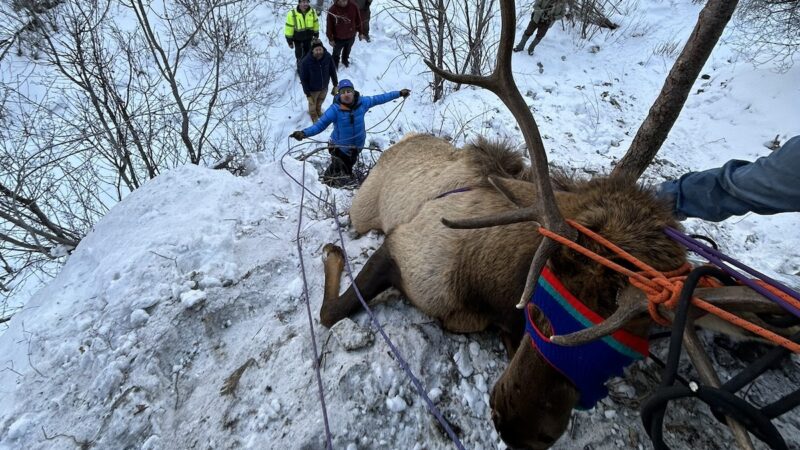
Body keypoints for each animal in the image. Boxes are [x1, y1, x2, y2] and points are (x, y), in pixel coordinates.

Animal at [318, 0, 788, 450]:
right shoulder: (404, 250)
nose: (517, 428)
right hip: (362, 210)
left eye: (636, 340)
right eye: (541, 297)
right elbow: (330, 312)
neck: (486, 284)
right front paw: (332, 253)